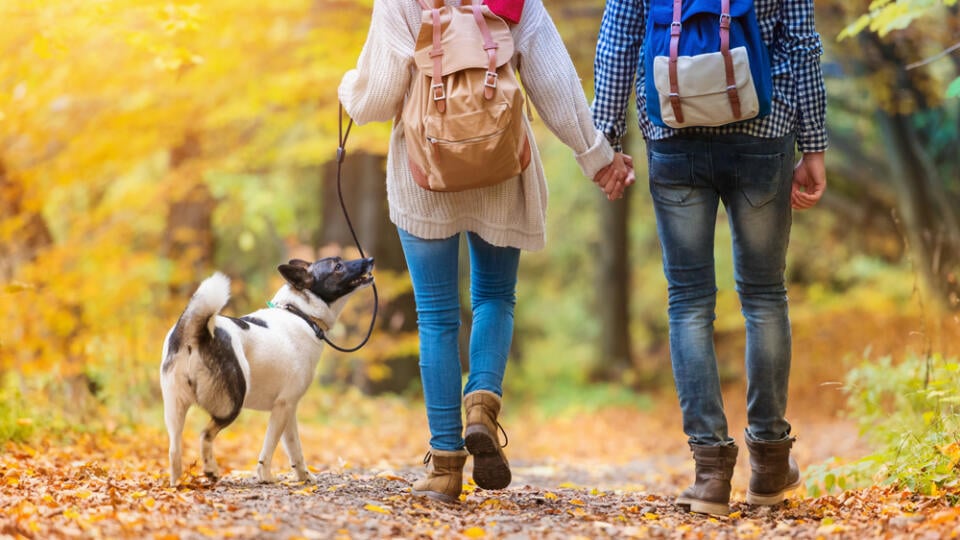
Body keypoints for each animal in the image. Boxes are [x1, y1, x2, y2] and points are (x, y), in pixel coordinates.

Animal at [159, 255, 374, 488]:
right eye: (338, 266)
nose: (370, 259)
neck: (301, 314)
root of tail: (195, 331)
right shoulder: (282, 407)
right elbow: (269, 448)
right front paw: (266, 477)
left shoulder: (289, 409)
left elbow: (295, 449)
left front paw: (304, 477)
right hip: (231, 405)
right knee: (205, 434)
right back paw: (211, 470)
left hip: (175, 409)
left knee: (174, 450)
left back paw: (177, 484)